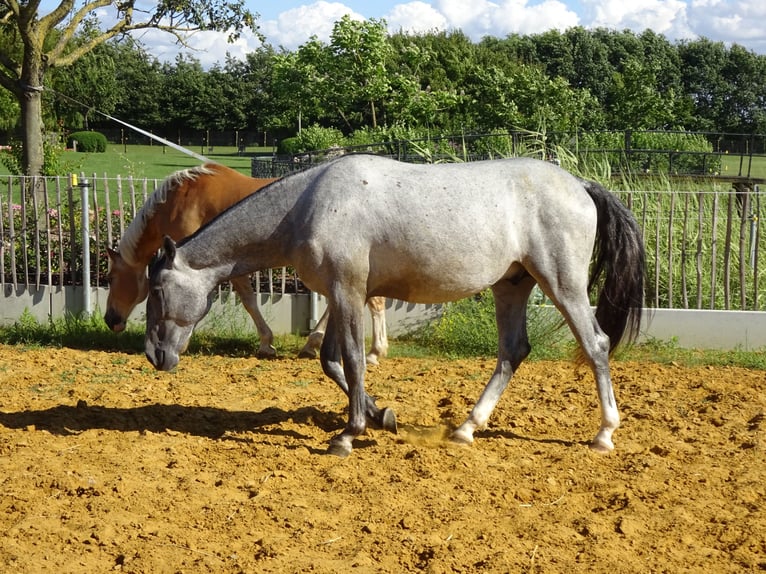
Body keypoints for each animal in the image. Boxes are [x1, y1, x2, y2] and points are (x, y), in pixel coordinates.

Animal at [104, 162, 389, 363]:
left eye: (110, 277)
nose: (110, 319)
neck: (181, 200)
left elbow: (247, 301)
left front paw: (265, 343)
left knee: (371, 302)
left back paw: (371, 351)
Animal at [144, 154, 645, 458]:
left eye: (158, 290)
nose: (154, 355)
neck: (308, 205)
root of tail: (580, 185)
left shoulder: (347, 292)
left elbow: (350, 359)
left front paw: (348, 435)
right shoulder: (343, 295)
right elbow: (332, 361)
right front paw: (381, 416)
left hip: (562, 284)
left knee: (595, 345)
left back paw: (604, 434)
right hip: (511, 286)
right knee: (512, 352)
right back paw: (466, 428)